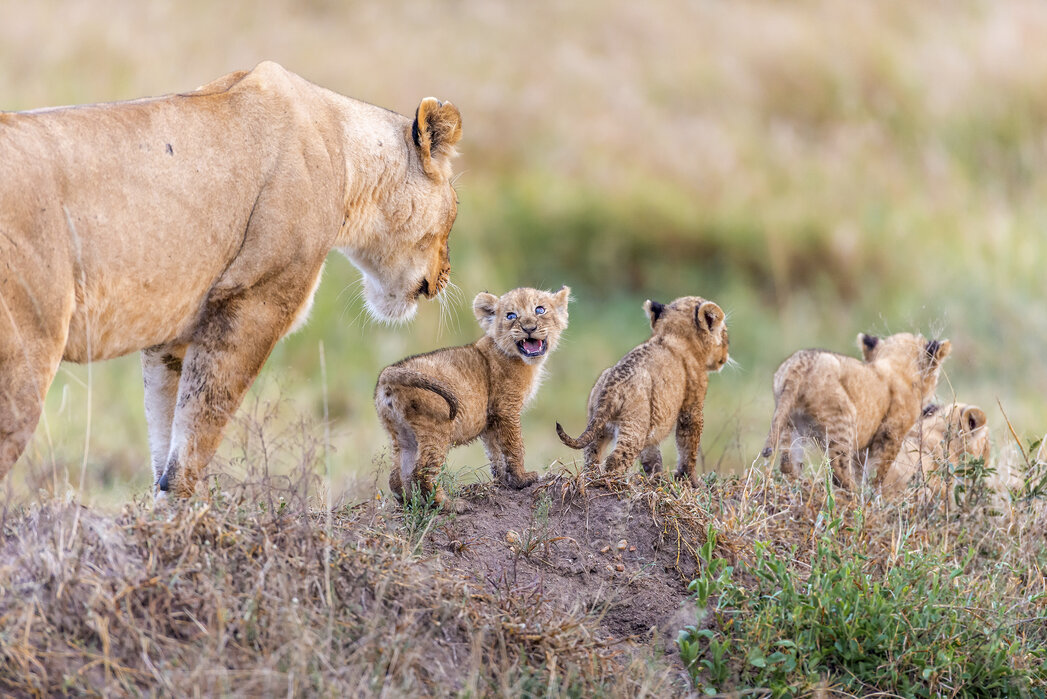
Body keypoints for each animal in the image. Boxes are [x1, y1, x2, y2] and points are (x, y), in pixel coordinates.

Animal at [0, 61, 462, 498]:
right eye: (455, 210)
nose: (446, 274)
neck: (347, 158)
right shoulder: (252, 304)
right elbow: (196, 439)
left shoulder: (172, 336)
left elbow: (165, 442)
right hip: (26, 355)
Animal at [375, 286, 570, 509]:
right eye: (511, 316)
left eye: (540, 310)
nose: (529, 327)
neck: (524, 361)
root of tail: (390, 372)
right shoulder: (506, 408)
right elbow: (514, 446)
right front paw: (522, 479)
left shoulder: (490, 419)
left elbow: (495, 453)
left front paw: (504, 481)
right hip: (436, 427)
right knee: (422, 472)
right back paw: (450, 505)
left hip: (400, 433)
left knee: (396, 476)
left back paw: (411, 503)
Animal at [555, 296, 729, 487]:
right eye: (725, 333)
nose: (726, 355)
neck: (672, 333)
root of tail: (612, 385)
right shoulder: (692, 407)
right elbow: (689, 445)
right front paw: (691, 481)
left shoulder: (654, 419)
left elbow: (651, 453)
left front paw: (655, 477)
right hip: (634, 426)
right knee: (615, 459)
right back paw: (617, 483)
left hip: (600, 423)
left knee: (591, 453)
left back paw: (592, 479)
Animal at [761, 332, 951, 490]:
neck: (896, 364)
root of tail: (799, 364)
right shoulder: (891, 433)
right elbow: (880, 470)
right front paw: (874, 496)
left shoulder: (865, 445)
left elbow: (863, 469)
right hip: (842, 420)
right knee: (840, 470)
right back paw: (853, 499)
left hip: (790, 421)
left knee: (788, 463)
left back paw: (800, 485)